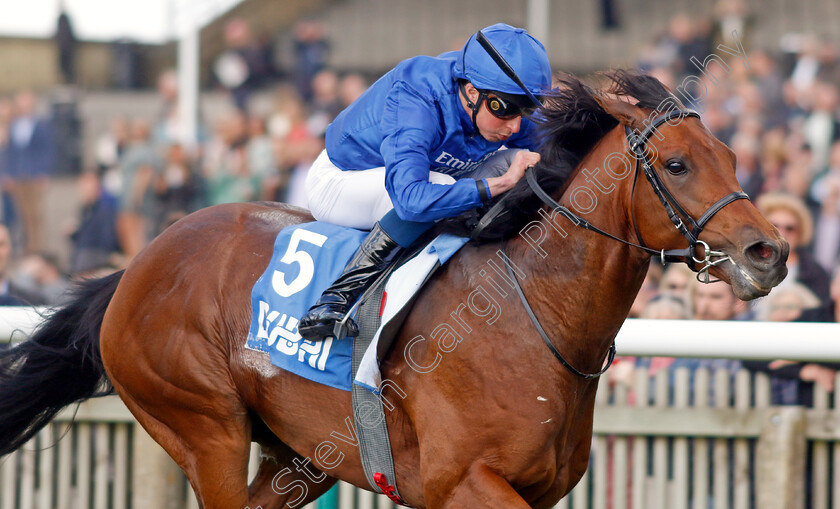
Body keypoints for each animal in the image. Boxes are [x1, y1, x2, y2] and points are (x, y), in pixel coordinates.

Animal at [0, 72, 788, 508]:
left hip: (298, 454)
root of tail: (136, 267)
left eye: (732, 155)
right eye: (679, 164)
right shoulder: (461, 482)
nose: (770, 252)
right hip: (202, 425)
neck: (534, 316)